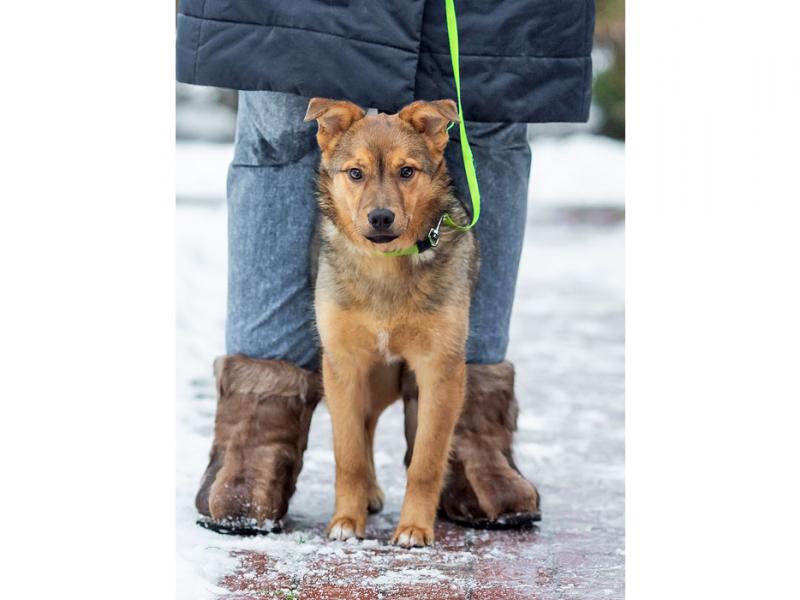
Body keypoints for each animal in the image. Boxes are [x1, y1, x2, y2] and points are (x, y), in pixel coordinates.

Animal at [304, 96, 478, 548]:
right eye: (355, 173)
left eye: (407, 171)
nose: (381, 217)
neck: (386, 266)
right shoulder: (343, 365)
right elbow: (347, 453)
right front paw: (346, 521)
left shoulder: (441, 371)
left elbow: (426, 461)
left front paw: (415, 527)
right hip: (370, 377)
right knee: (363, 427)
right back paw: (367, 495)